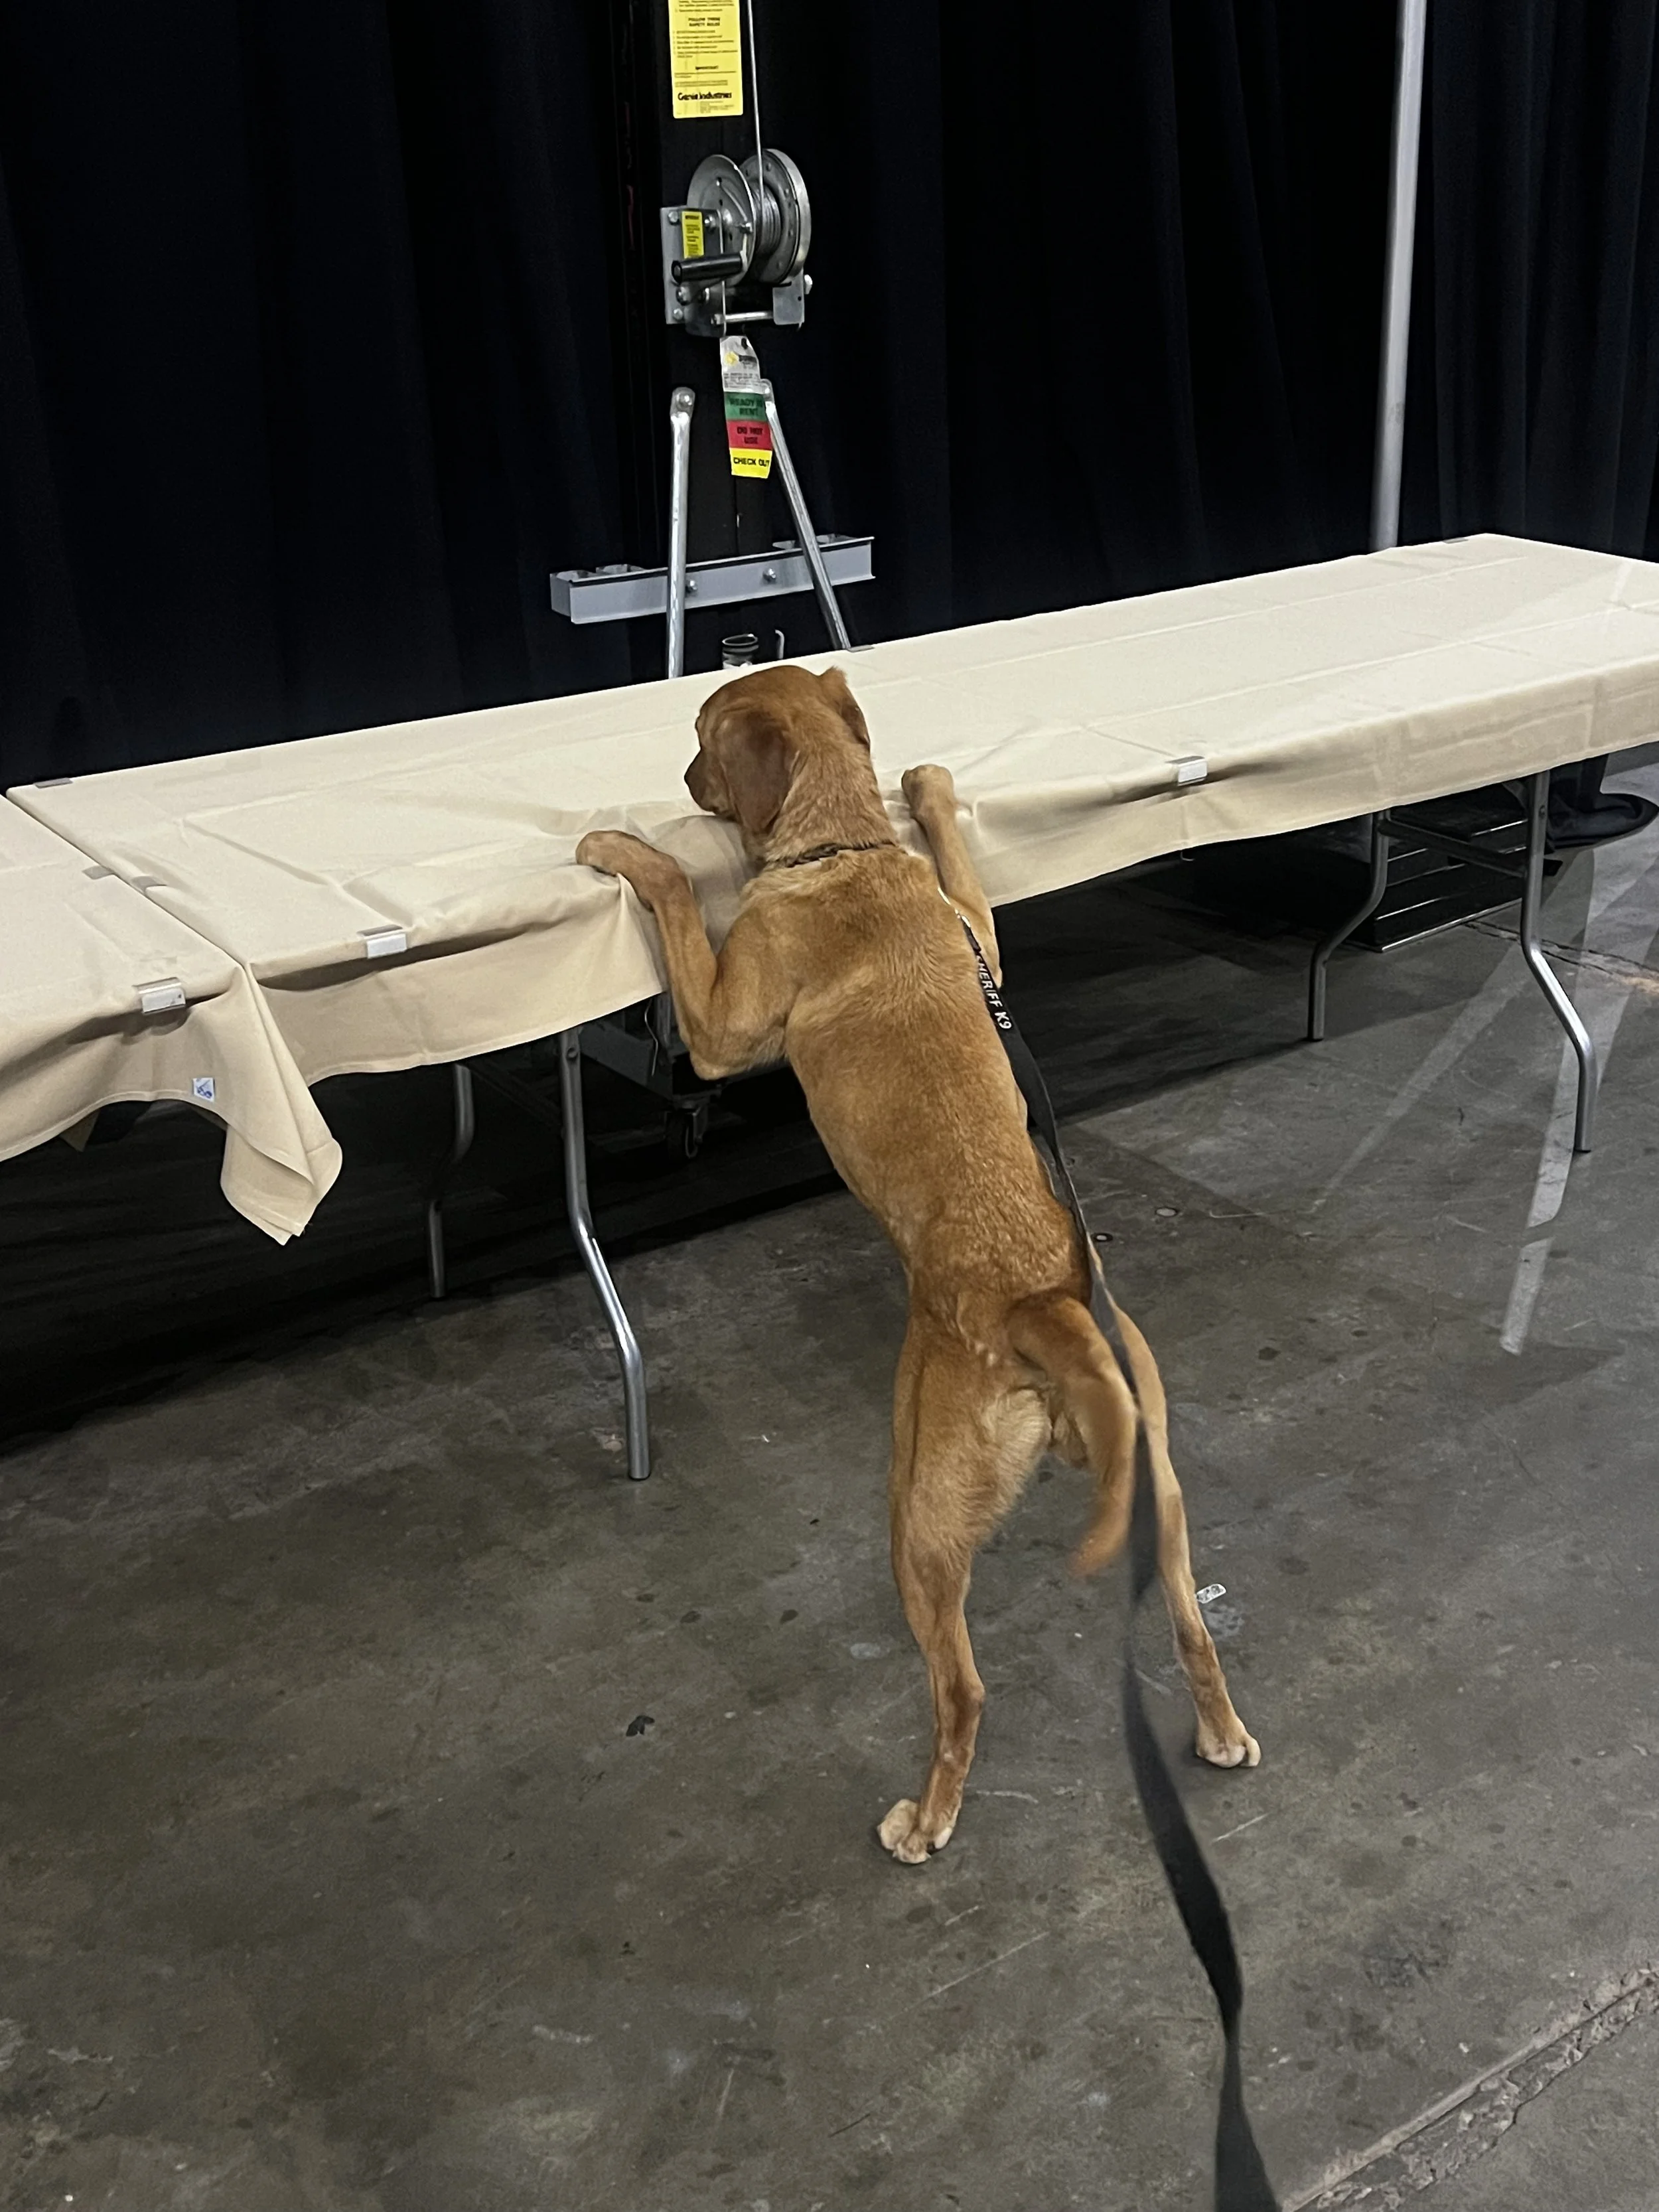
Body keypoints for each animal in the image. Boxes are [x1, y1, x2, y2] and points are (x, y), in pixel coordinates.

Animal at [576, 665, 1259, 1862]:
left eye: (701, 734)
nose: (683, 775)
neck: (841, 846)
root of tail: (1041, 1303)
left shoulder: (720, 1026)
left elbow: (672, 897)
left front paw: (624, 843)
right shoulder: (978, 930)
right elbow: (963, 863)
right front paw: (928, 786)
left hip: (921, 1514)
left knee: (964, 1690)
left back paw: (923, 1820)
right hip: (1163, 1486)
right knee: (1190, 1625)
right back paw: (1220, 1732)